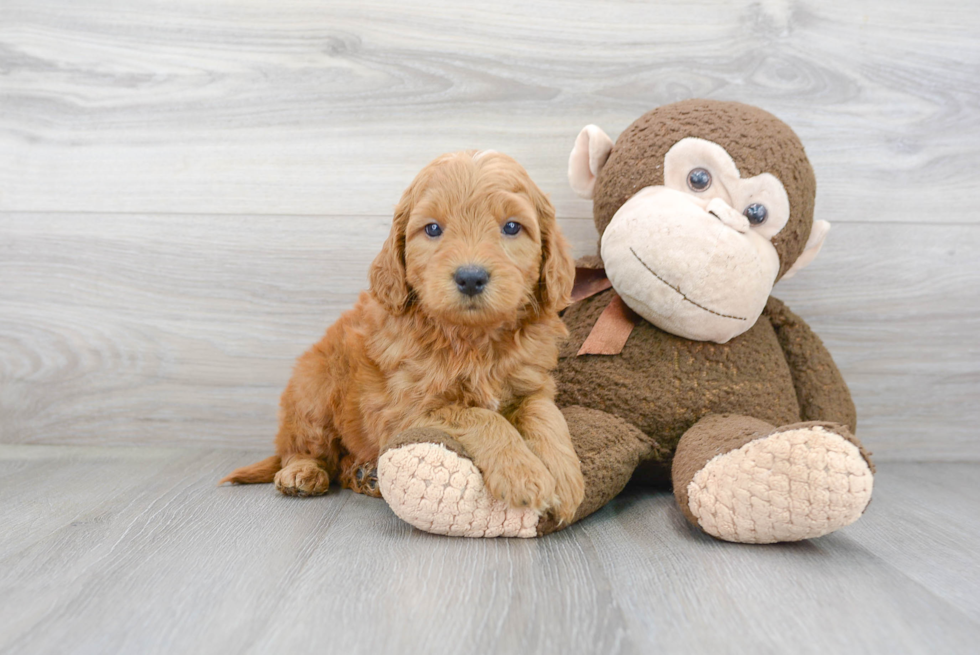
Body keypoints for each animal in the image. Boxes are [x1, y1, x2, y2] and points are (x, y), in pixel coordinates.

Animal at [224, 150, 580, 524]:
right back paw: (302, 472)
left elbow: (544, 414)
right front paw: (522, 473)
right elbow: (479, 416)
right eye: (433, 229)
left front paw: (564, 477)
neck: (472, 340)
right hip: (314, 390)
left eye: (512, 227)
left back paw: (365, 475)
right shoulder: (406, 411)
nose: (470, 277)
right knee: (304, 448)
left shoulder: (532, 384)